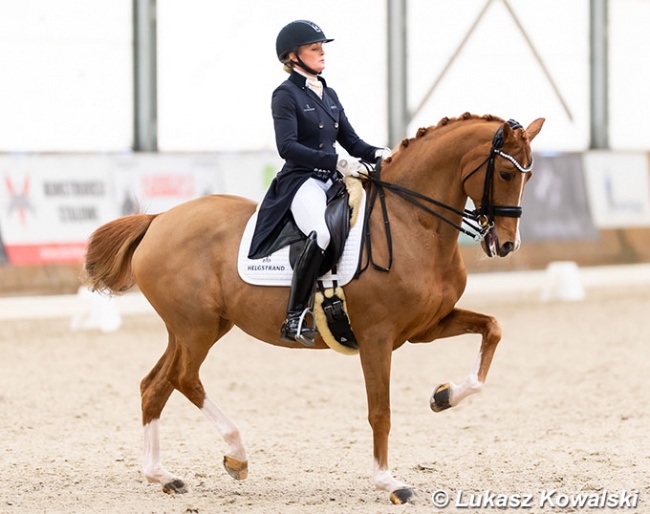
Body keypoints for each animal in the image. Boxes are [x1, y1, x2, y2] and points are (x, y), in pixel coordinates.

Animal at [85, 113, 540, 504]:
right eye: (505, 173)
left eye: (529, 174)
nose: (506, 245)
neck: (412, 223)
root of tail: (158, 221)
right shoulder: (377, 337)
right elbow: (380, 411)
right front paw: (388, 482)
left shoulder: (426, 327)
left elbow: (493, 329)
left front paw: (444, 396)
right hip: (197, 328)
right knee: (183, 378)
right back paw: (236, 455)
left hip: (195, 328)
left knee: (155, 385)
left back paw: (163, 476)